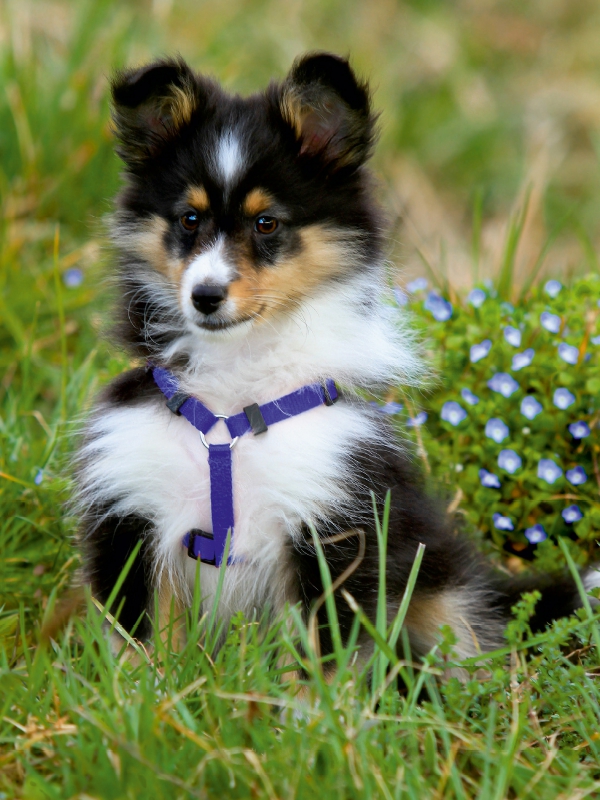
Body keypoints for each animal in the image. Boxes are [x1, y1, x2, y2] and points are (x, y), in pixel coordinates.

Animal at [75, 51, 592, 668]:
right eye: (189, 219)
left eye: (267, 223)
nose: (205, 296)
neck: (231, 401)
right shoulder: (134, 511)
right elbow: (141, 643)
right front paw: (150, 689)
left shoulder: (330, 522)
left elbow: (316, 654)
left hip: (441, 585)